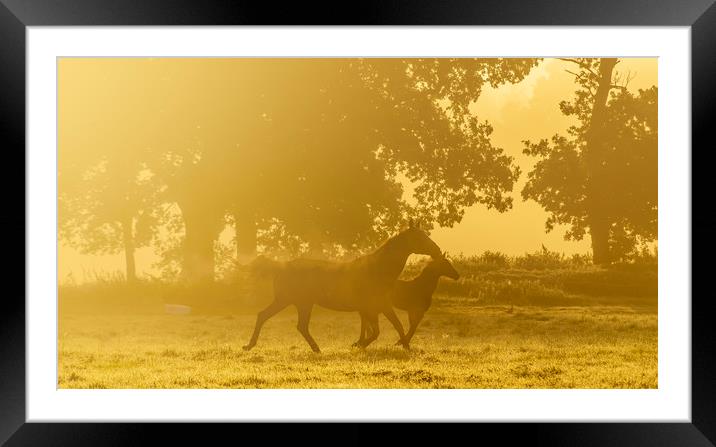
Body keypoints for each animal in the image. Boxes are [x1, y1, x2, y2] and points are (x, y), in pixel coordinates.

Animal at [242, 221, 442, 354]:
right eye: (420, 237)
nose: (438, 251)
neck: (378, 270)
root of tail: (281, 266)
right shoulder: (377, 306)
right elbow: (383, 330)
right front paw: (361, 345)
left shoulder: (376, 307)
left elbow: (386, 328)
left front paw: (403, 345)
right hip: (289, 301)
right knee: (269, 318)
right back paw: (251, 345)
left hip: (300, 303)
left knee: (294, 324)